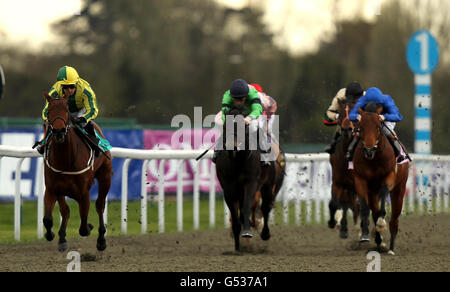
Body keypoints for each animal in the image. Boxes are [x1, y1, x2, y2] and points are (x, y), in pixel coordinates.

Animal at [42, 93, 112, 251]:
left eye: (67, 110)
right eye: (49, 111)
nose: (59, 131)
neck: (66, 159)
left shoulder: (84, 192)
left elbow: (84, 228)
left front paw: (90, 227)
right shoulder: (52, 189)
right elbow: (48, 219)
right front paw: (53, 235)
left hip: (105, 177)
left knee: (100, 205)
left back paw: (101, 240)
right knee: (66, 211)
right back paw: (62, 238)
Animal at [216, 106, 284, 251]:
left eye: (243, 126)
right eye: (225, 126)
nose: (232, 146)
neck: (237, 161)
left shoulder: (251, 183)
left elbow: (247, 207)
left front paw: (247, 232)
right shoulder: (228, 187)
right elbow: (235, 213)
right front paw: (237, 243)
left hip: (268, 185)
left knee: (265, 207)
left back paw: (265, 233)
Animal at [354, 104, 410, 254]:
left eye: (378, 126)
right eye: (360, 127)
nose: (369, 150)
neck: (374, 160)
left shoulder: (389, 176)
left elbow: (384, 192)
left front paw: (381, 222)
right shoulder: (360, 179)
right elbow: (365, 206)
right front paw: (366, 235)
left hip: (399, 190)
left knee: (394, 220)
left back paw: (390, 248)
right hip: (373, 192)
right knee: (374, 211)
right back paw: (379, 241)